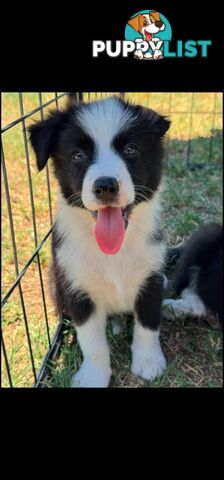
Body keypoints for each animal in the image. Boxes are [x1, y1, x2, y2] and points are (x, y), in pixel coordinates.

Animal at [29, 95, 170, 388]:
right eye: (78, 155)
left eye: (131, 150)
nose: (105, 186)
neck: (113, 251)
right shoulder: (78, 289)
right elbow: (92, 342)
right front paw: (94, 376)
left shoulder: (151, 276)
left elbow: (148, 325)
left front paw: (149, 363)